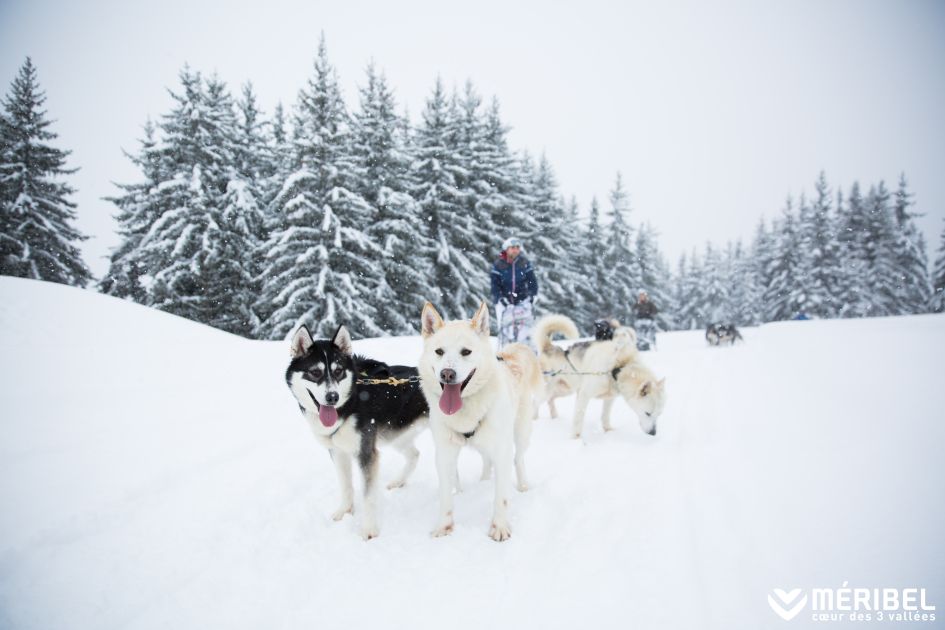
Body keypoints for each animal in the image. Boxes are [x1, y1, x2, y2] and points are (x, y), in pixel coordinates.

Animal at [282, 326, 426, 544]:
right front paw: (345, 511)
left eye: (338, 371)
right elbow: (346, 485)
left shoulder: (366, 453)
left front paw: (369, 530)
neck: (350, 403)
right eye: (315, 372)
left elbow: (368, 496)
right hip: (396, 435)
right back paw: (398, 481)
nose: (332, 397)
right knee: (414, 454)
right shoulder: (338, 452)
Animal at [418, 302, 544, 544]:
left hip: (520, 433)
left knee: (518, 459)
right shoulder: (445, 453)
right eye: (439, 351)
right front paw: (444, 527)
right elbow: (446, 497)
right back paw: (484, 481)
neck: (466, 411)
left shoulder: (502, 450)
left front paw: (500, 527)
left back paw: (523, 486)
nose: (447, 374)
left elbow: (501, 497)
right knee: (487, 461)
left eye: (466, 351)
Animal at [536, 316, 668, 440]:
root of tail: (549, 347)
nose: (653, 433)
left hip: (566, 390)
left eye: (659, 414)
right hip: (549, 391)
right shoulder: (584, 395)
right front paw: (576, 440)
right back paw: (535, 419)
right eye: (648, 413)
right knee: (536, 402)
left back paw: (554, 417)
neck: (618, 367)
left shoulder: (609, 398)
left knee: (551, 399)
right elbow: (578, 421)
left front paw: (608, 431)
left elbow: (605, 416)